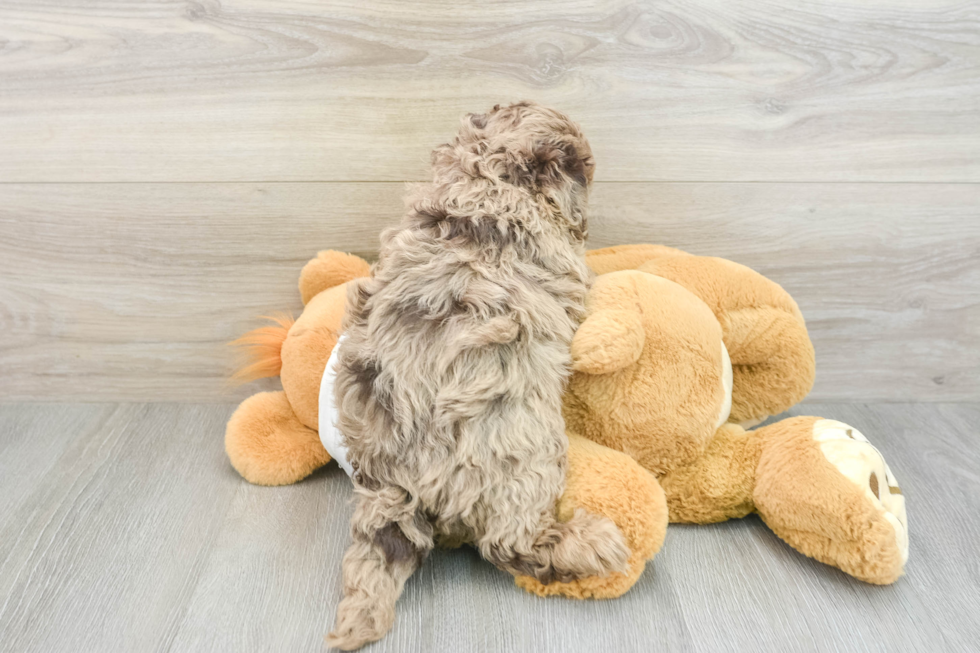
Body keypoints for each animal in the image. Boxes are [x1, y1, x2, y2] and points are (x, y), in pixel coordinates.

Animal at [330, 102, 632, 648]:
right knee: (509, 545)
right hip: (528, 458)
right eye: (583, 167)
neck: (484, 175)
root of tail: (397, 479)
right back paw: (590, 544)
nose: (594, 168)